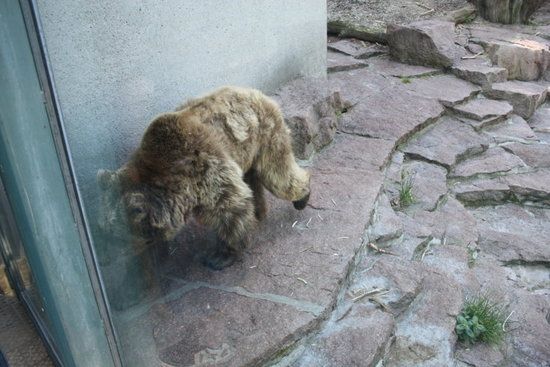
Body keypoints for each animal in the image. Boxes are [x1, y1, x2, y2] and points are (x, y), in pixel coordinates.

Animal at [98, 86, 310, 270]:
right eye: (103, 230)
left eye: (115, 237)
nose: (103, 261)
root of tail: (253, 91)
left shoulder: (205, 169)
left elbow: (230, 209)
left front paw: (220, 255)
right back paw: (259, 212)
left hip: (265, 134)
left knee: (277, 172)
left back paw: (302, 196)